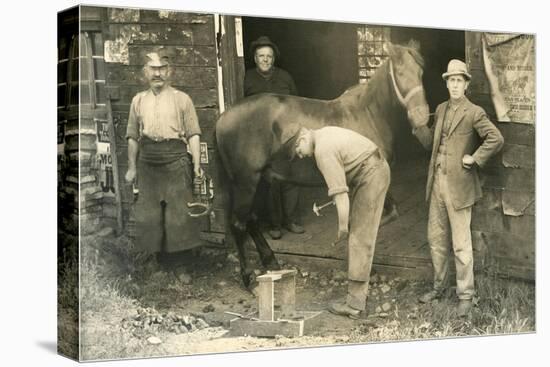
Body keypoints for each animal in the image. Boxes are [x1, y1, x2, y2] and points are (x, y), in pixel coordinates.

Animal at [215, 41, 432, 290]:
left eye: (421, 72)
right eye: (400, 73)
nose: (421, 118)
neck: (368, 114)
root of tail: (223, 118)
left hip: (259, 181)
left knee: (250, 220)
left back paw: (271, 261)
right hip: (246, 182)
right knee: (239, 224)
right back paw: (248, 277)